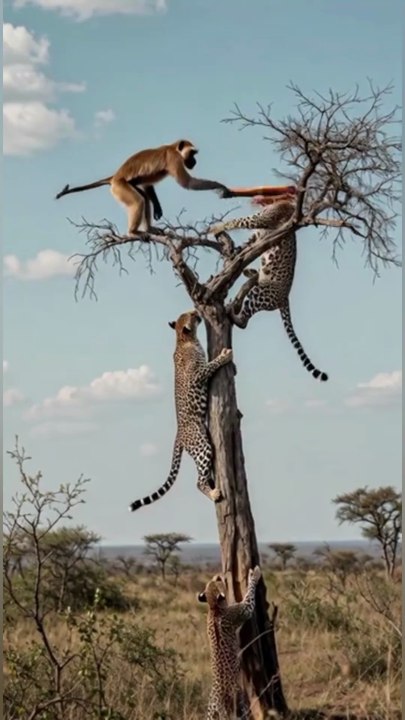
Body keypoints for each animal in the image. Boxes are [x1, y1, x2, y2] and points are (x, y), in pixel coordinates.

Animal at [55, 140, 231, 237]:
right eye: (192, 154)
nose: (194, 161)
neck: (172, 147)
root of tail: (114, 177)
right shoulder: (174, 159)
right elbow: (187, 183)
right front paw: (219, 185)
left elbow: (148, 185)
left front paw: (158, 208)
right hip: (120, 187)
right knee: (139, 201)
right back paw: (134, 232)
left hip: (126, 185)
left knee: (144, 198)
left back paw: (149, 228)